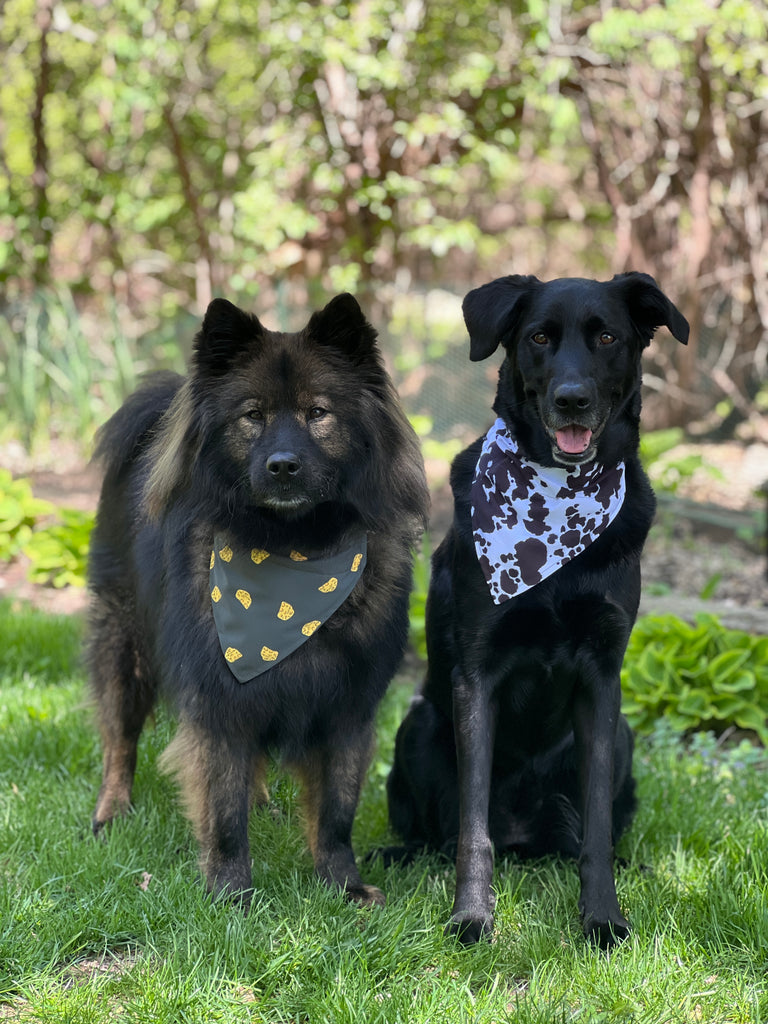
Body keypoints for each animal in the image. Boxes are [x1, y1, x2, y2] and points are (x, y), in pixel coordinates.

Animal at [88, 292, 434, 909]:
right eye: (253, 416)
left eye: (318, 413)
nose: (283, 466)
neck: (293, 555)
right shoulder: (218, 698)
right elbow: (223, 812)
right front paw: (230, 897)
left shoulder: (348, 705)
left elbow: (336, 812)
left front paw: (343, 886)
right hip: (123, 644)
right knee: (119, 742)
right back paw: (112, 813)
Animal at [387, 270, 688, 942]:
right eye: (539, 338)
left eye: (607, 337)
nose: (572, 399)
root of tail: (526, 839)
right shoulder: (477, 677)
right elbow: (473, 830)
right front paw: (471, 917)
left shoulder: (603, 680)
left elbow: (597, 830)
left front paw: (603, 918)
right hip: (417, 725)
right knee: (433, 833)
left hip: (624, 735)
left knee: (586, 832)